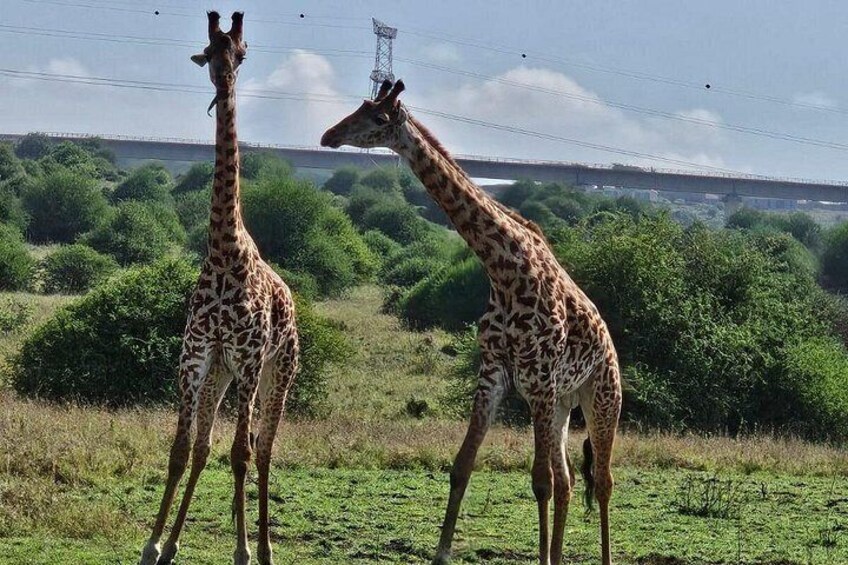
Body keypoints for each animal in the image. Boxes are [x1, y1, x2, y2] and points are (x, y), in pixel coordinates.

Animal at [139, 12, 299, 565]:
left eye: (242, 52)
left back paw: (266, 548)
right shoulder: (196, 357)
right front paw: (154, 544)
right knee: (208, 446)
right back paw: (174, 543)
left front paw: (244, 551)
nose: (225, 79)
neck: (225, 250)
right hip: (221, 374)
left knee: (264, 449)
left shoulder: (250, 362)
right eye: (209, 52)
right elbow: (181, 449)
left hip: (277, 372)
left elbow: (241, 453)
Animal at [321, 80, 622, 565]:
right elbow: (462, 466)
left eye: (377, 119)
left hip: (600, 396)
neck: (504, 270)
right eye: (358, 107)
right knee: (570, 481)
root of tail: (611, 348)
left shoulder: (537, 378)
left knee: (604, 480)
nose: (329, 135)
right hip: (562, 403)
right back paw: (557, 554)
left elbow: (538, 482)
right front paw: (441, 553)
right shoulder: (494, 373)